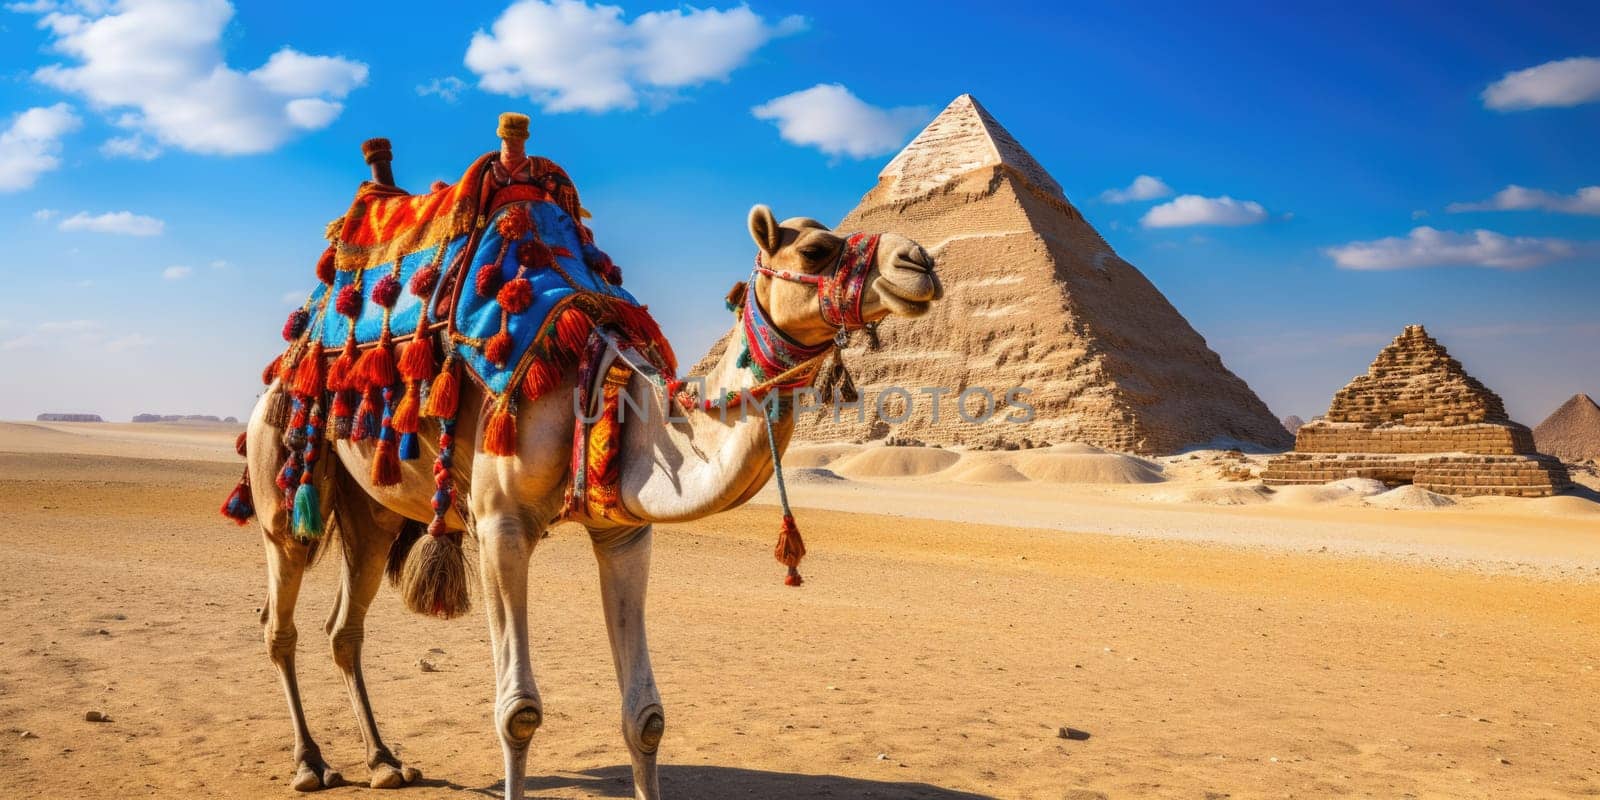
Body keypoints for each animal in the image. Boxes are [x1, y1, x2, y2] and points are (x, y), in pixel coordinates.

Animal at [244, 203, 940, 796]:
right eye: (817, 250)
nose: (921, 262)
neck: (603, 387)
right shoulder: (499, 524)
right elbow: (518, 712)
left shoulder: (624, 531)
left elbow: (647, 717)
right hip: (282, 476)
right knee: (280, 620)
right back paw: (310, 765)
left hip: (375, 513)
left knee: (345, 627)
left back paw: (385, 762)